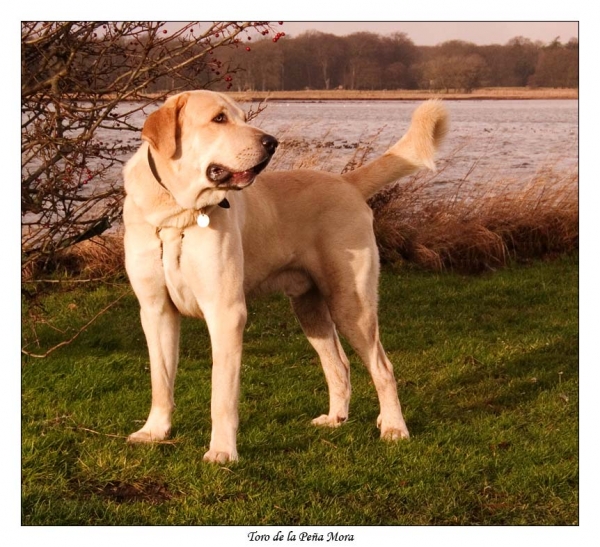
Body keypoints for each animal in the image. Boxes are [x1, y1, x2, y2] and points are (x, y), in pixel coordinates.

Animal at [124, 90, 448, 462]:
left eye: (242, 116)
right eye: (219, 118)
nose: (271, 142)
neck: (176, 213)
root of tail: (345, 182)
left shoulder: (225, 312)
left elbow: (222, 395)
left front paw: (222, 451)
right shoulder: (155, 310)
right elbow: (160, 380)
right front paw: (155, 431)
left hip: (352, 305)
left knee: (382, 368)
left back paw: (394, 426)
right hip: (310, 310)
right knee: (339, 364)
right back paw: (336, 418)